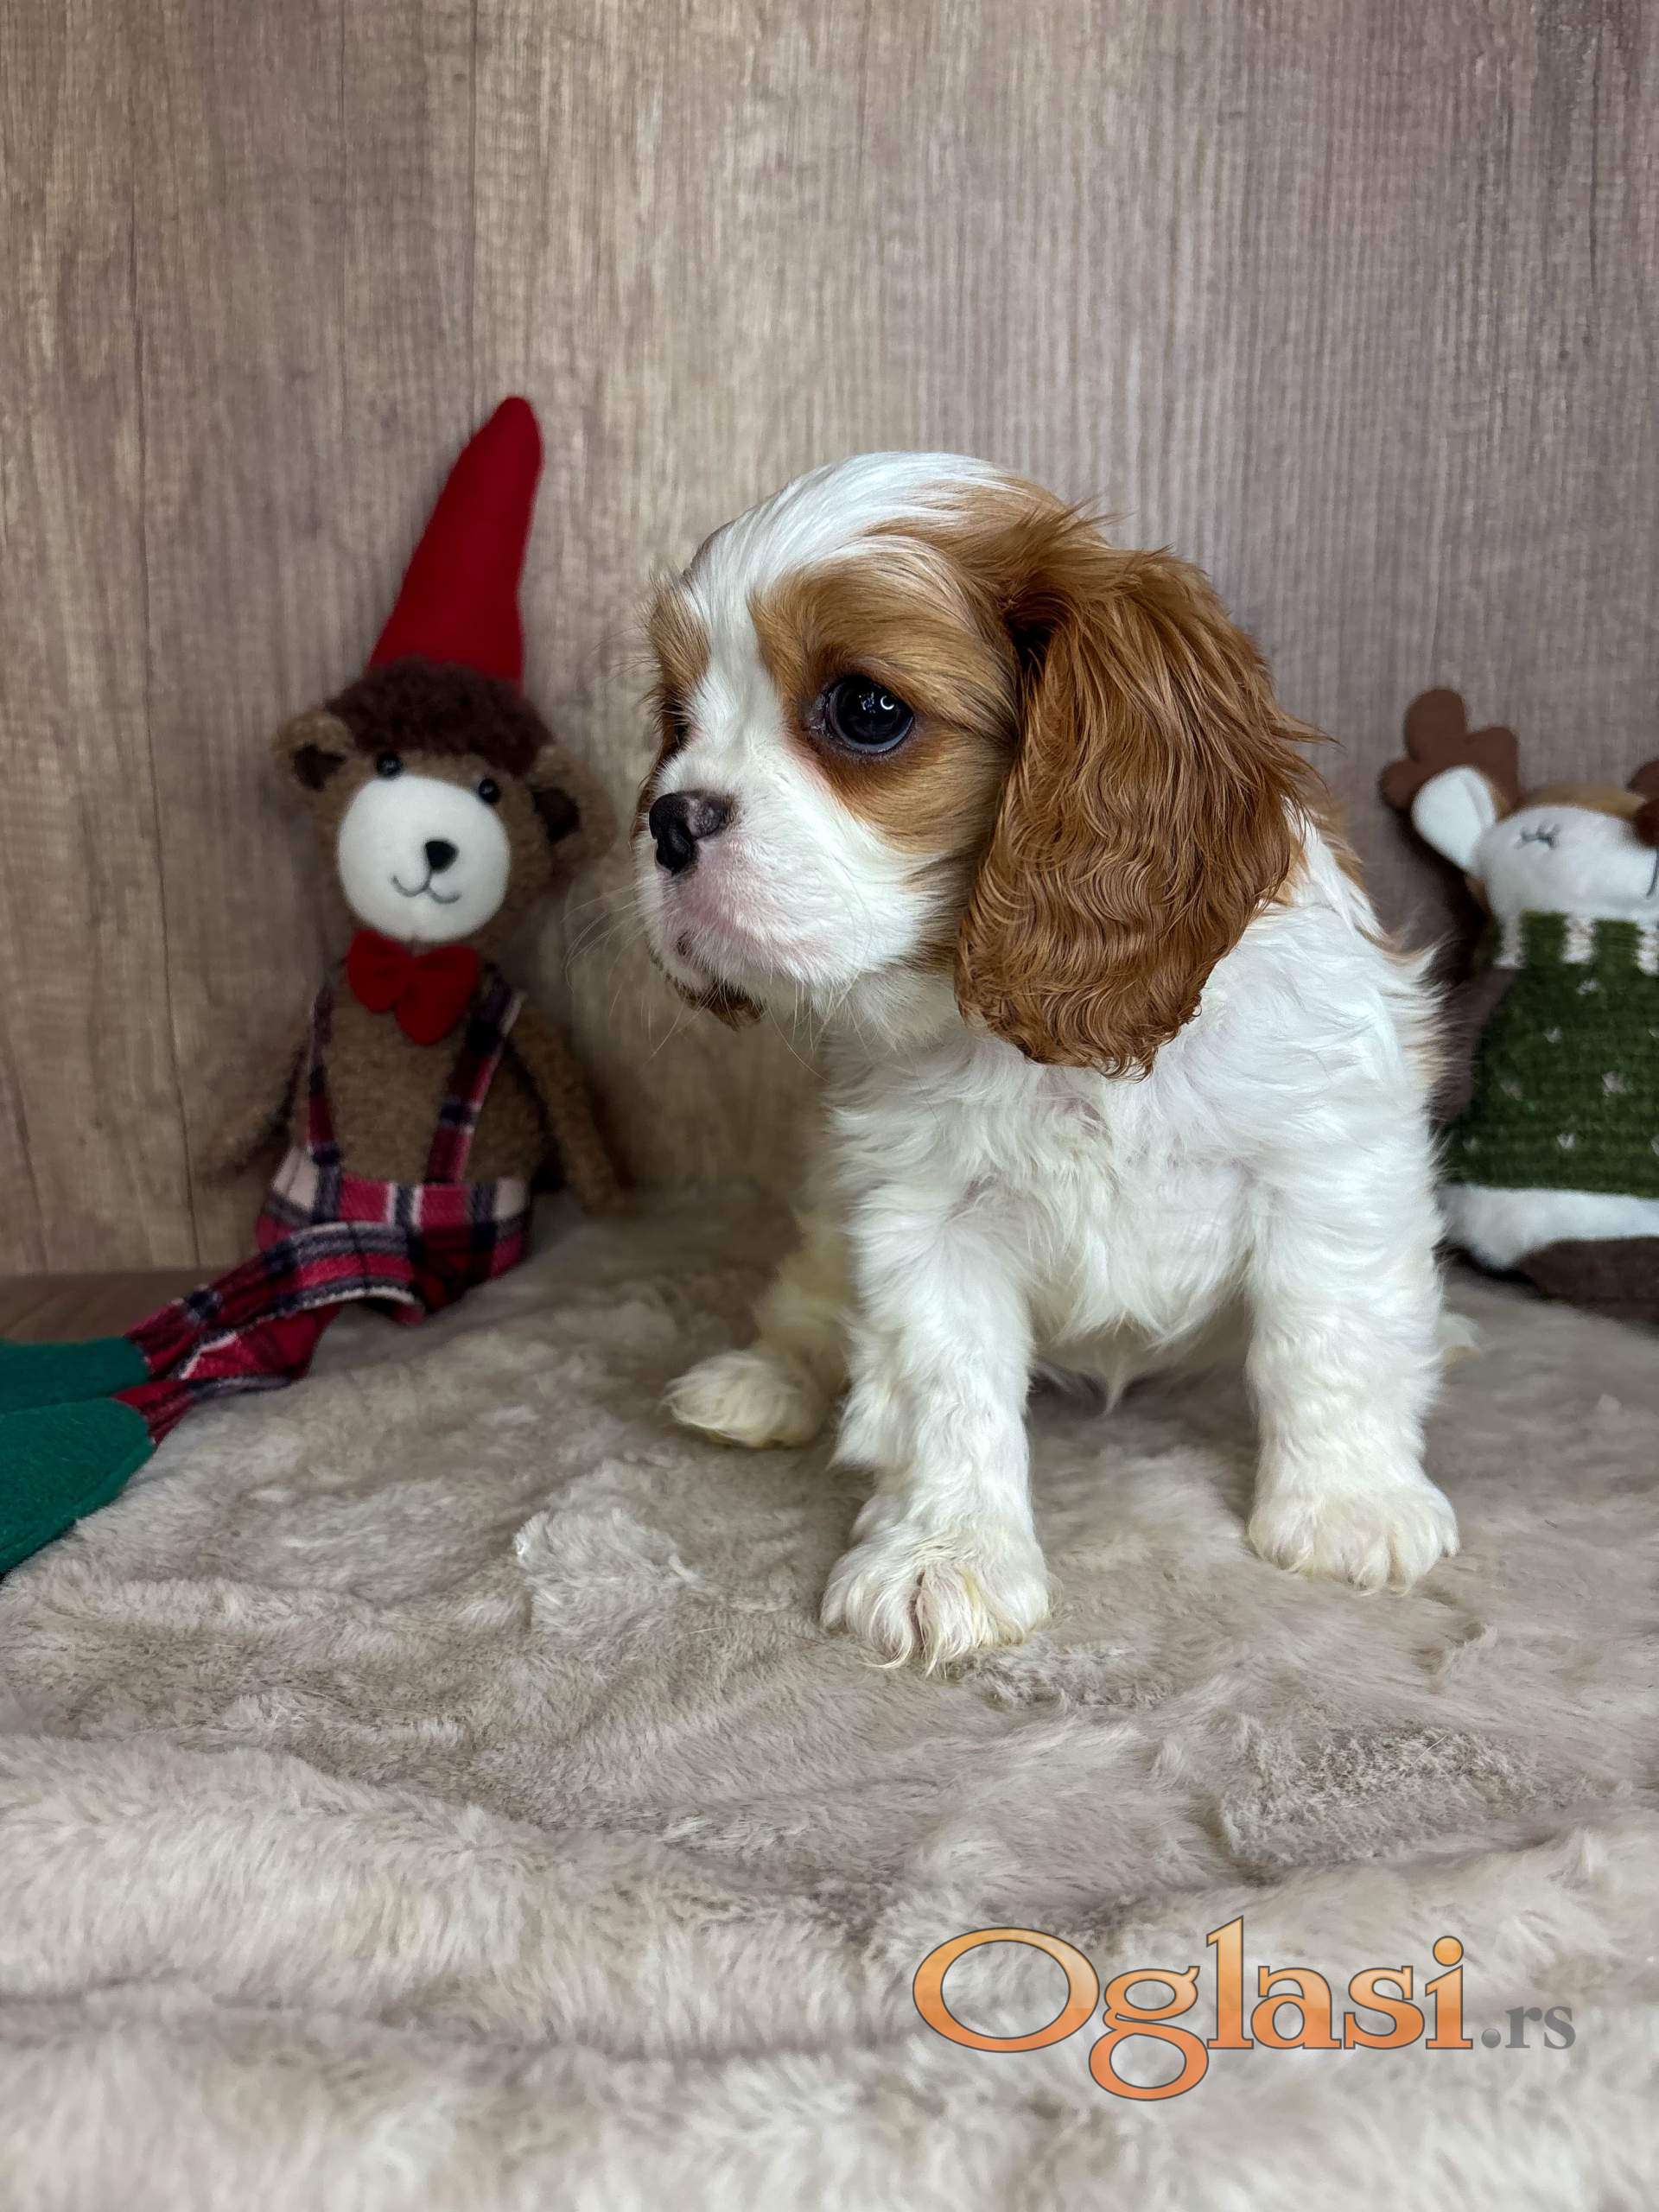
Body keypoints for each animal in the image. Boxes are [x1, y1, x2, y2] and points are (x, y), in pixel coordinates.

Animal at [634, 453, 1457, 1669]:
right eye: (677, 717)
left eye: (866, 710)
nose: (666, 819)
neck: (1059, 1052)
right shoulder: (922, 1218)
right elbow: (946, 1388)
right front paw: (944, 1554)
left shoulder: (1327, 1165)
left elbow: (1329, 1341)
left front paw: (1349, 1504)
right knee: (811, 1303)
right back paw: (764, 1381)